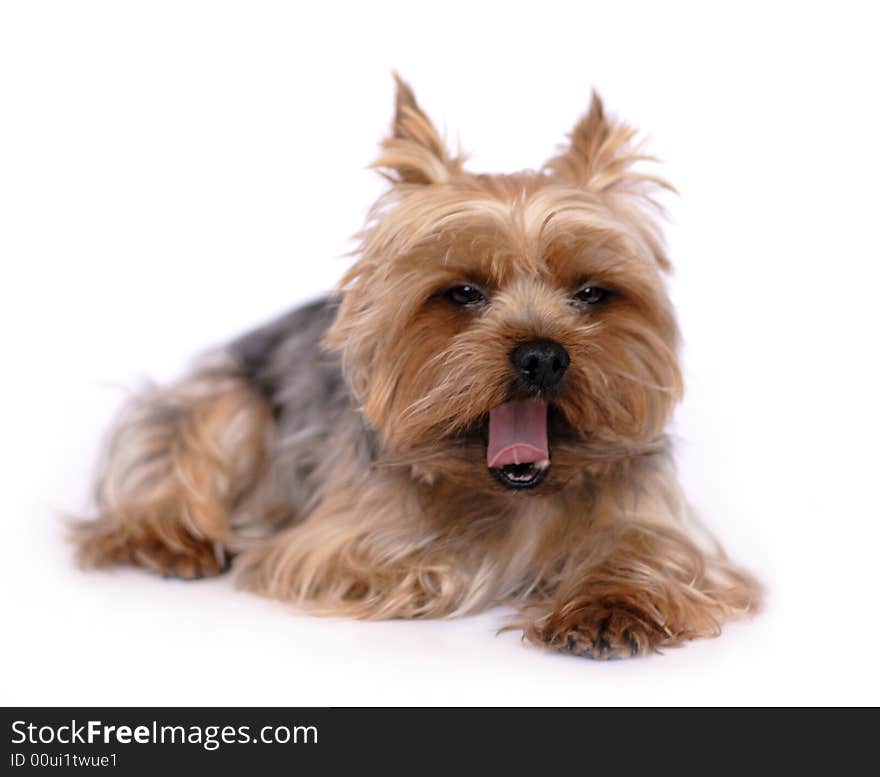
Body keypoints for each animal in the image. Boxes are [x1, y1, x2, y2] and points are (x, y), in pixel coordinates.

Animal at [72, 77, 760, 660]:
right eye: (463, 293)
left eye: (591, 293)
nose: (542, 354)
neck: (510, 491)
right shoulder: (331, 544)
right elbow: (408, 560)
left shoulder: (664, 522)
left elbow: (654, 552)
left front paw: (608, 604)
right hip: (227, 403)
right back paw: (173, 540)